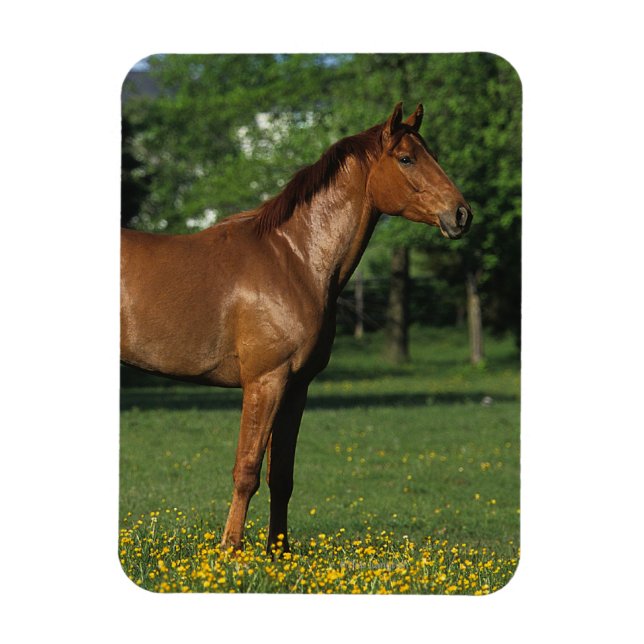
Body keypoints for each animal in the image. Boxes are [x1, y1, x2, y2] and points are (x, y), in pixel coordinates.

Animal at [121, 102, 472, 552]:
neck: (294, 260)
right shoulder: (265, 381)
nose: (461, 213)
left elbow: (281, 477)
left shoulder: (296, 387)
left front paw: (279, 553)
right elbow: (247, 470)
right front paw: (230, 551)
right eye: (407, 158)